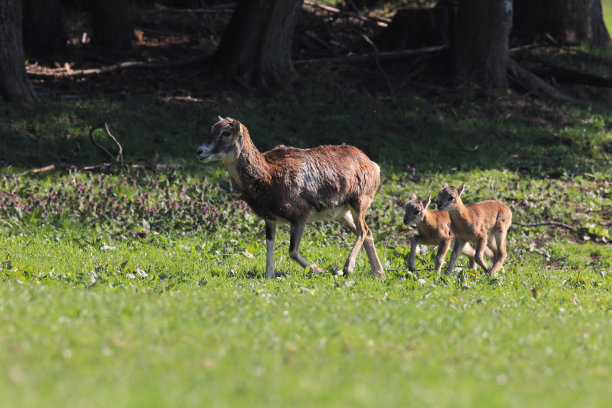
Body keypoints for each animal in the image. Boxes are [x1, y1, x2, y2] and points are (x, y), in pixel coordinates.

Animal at [198, 116, 384, 278]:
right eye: (212, 129)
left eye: (226, 133)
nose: (200, 151)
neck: (268, 177)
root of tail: (373, 165)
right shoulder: (270, 219)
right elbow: (270, 244)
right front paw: (269, 274)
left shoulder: (299, 216)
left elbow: (292, 251)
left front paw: (319, 270)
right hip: (343, 214)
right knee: (367, 232)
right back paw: (379, 273)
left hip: (359, 202)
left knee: (363, 230)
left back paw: (348, 268)